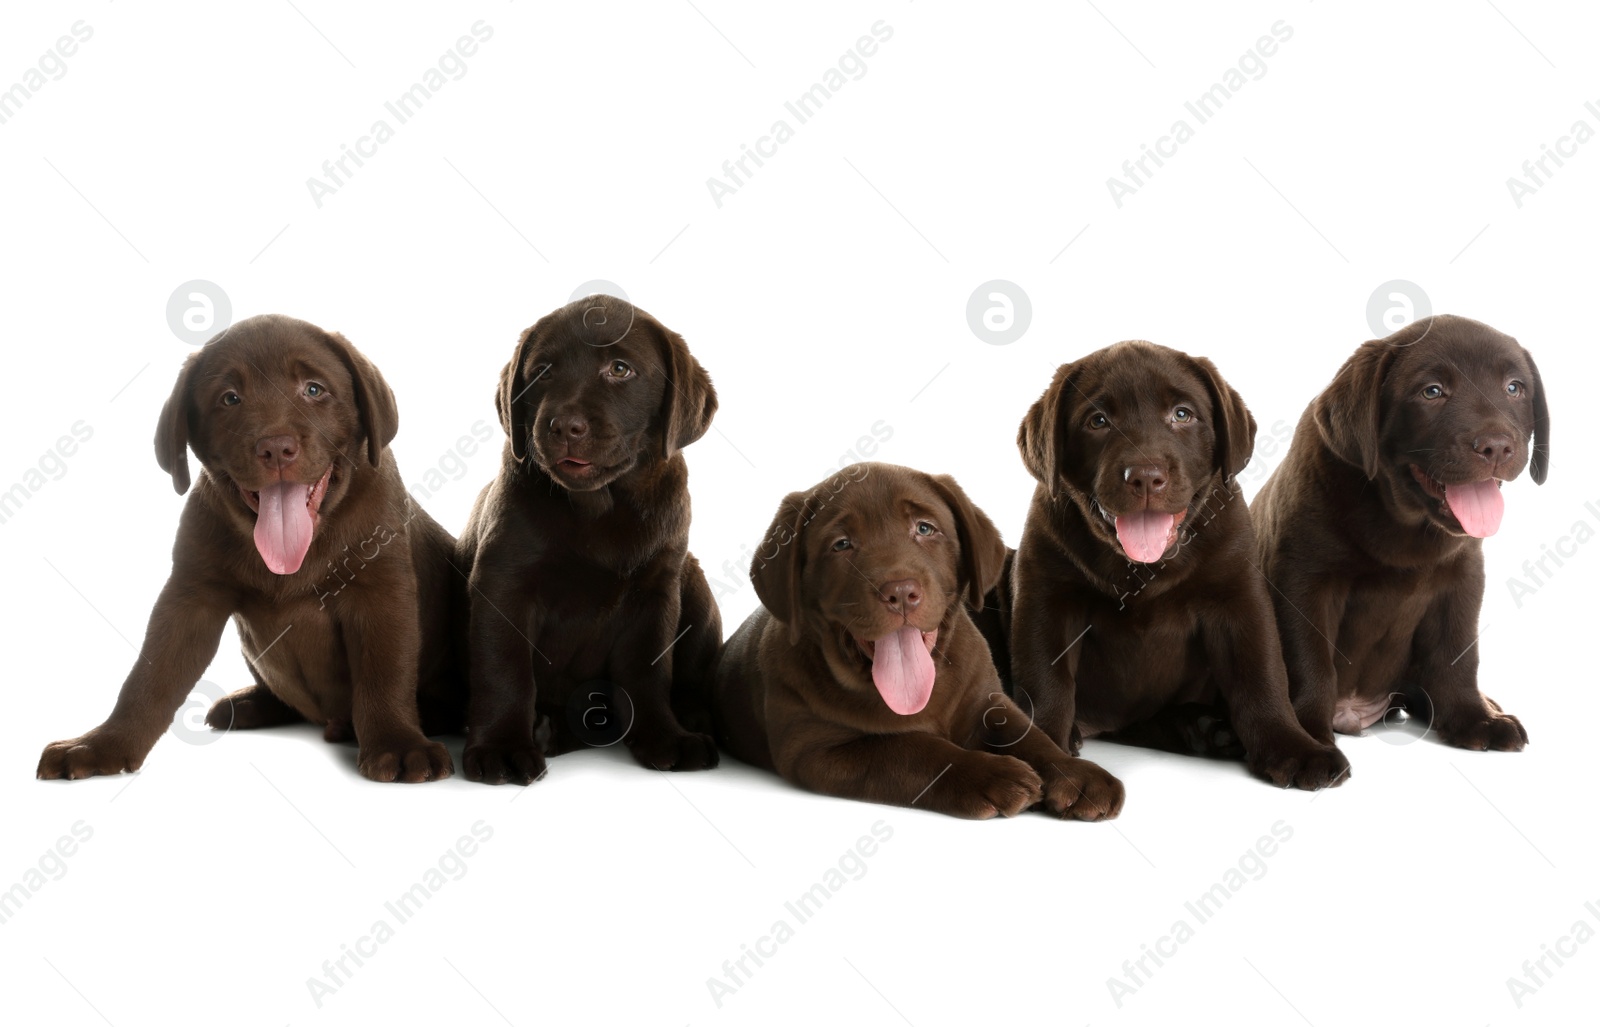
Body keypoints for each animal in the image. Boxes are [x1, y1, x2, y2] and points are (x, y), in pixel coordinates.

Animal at [37, 316, 464, 780]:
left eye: (314, 389)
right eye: (230, 398)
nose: (275, 448)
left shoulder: (381, 592)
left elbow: (385, 672)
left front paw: (398, 744)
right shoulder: (191, 595)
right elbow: (150, 676)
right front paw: (102, 743)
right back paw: (246, 705)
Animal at [457, 291, 720, 780]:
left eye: (620, 369)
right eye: (542, 371)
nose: (564, 426)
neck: (600, 504)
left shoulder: (657, 593)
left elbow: (649, 672)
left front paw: (664, 737)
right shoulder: (502, 585)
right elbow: (504, 669)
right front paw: (501, 746)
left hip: (692, 580)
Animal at [716, 460, 1126, 819]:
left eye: (925, 529)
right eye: (842, 544)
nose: (900, 592)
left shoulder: (988, 701)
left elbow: (1029, 734)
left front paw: (1077, 774)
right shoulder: (819, 749)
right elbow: (913, 748)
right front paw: (992, 774)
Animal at [985, 339, 1350, 787]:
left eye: (1182, 415)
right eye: (1098, 421)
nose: (1144, 476)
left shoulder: (1239, 598)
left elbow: (1261, 674)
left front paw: (1293, 747)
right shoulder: (1046, 596)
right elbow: (1044, 680)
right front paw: (1048, 753)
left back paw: (1207, 730)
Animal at [1248, 311, 1548, 742]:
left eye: (1514, 388)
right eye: (1432, 392)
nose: (1496, 447)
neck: (1403, 521)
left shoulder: (1463, 580)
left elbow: (1457, 656)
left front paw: (1474, 717)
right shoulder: (1303, 580)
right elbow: (1310, 660)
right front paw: (1307, 730)